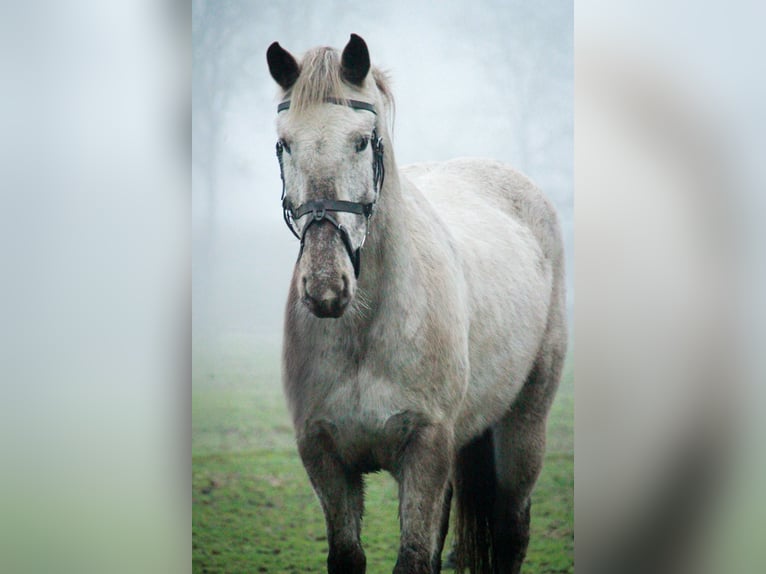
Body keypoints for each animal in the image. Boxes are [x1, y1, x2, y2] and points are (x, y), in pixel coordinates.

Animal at [268, 33, 568, 572]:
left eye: (361, 140)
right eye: (285, 143)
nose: (325, 287)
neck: (366, 330)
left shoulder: (426, 450)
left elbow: (413, 557)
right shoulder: (323, 455)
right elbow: (350, 555)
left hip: (523, 427)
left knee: (512, 532)